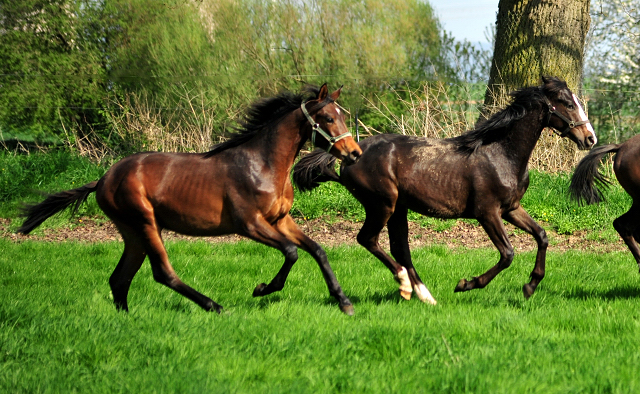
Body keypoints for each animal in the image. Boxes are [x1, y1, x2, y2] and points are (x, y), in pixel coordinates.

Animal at [17, 84, 362, 316]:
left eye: (342, 116)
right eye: (328, 118)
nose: (355, 153)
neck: (263, 164)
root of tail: (103, 179)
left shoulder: (281, 220)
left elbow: (317, 250)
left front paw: (344, 302)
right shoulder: (250, 224)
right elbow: (291, 252)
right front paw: (262, 289)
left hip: (133, 233)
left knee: (120, 278)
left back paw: (126, 317)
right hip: (145, 223)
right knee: (162, 273)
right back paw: (214, 306)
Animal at [292, 77, 596, 304]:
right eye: (568, 104)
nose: (590, 138)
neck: (500, 153)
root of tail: (348, 155)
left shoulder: (511, 208)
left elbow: (542, 236)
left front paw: (531, 285)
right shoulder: (487, 213)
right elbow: (508, 253)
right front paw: (466, 284)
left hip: (399, 208)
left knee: (400, 248)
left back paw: (424, 295)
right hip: (382, 205)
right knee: (368, 239)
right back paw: (406, 286)